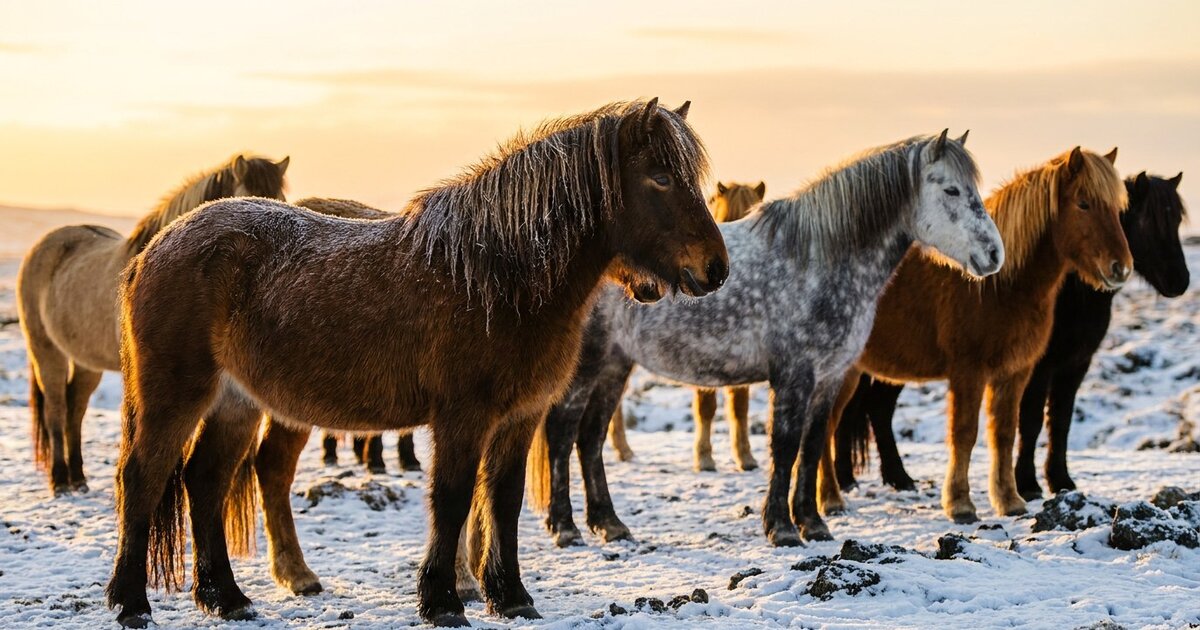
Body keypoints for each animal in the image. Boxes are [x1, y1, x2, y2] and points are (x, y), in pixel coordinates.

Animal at [16, 154, 289, 496]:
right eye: (249, 195)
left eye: (281, 198)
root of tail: (43, 246)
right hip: (46, 350)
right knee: (55, 408)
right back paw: (61, 480)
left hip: (86, 362)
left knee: (74, 408)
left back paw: (78, 478)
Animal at [105, 99, 728, 628]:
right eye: (660, 178)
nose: (716, 269)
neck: (496, 278)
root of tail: (154, 248)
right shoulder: (462, 417)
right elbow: (452, 499)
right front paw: (443, 602)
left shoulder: (520, 416)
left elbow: (502, 502)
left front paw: (511, 598)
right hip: (174, 395)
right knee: (144, 477)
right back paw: (133, 603)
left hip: (236, 402)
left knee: (205, 480)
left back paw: (227, 598)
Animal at [819, 147, 1132, 525]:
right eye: (1083, 203)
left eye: (1117, 209)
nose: (1120, 268)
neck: (999, 285)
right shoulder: (968, 371)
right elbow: (965, 434)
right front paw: (960, 504)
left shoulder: (1015, 372)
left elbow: (1005, 433)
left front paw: (1009, 500)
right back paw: (830, 501)